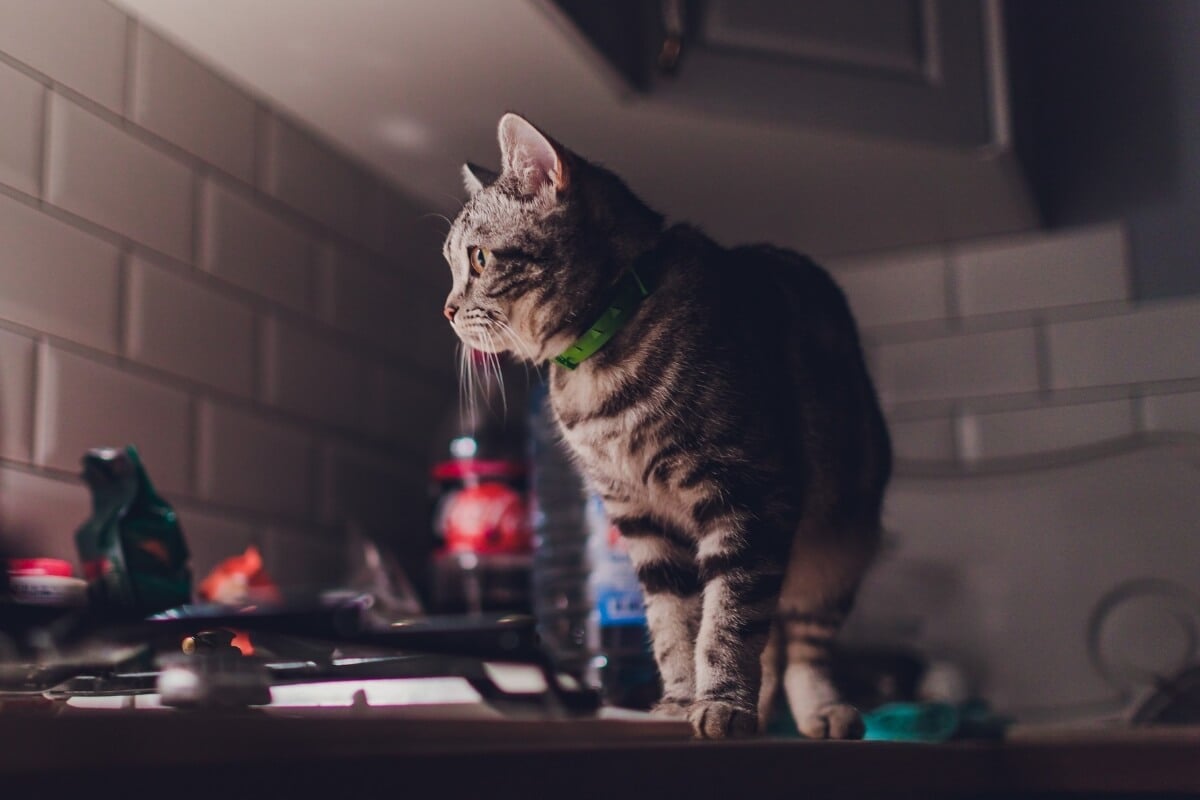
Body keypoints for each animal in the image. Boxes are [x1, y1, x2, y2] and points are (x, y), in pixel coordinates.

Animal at [441, 112, 892, 738]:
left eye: (479, 259)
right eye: (451, 262)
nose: (447, 309)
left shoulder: (748, 496)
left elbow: (728, 620)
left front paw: (723, 702)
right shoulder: (642, 521)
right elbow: (674, 626)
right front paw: (682, 701)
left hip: (837, 546)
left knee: (801, 641)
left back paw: (819, 710)